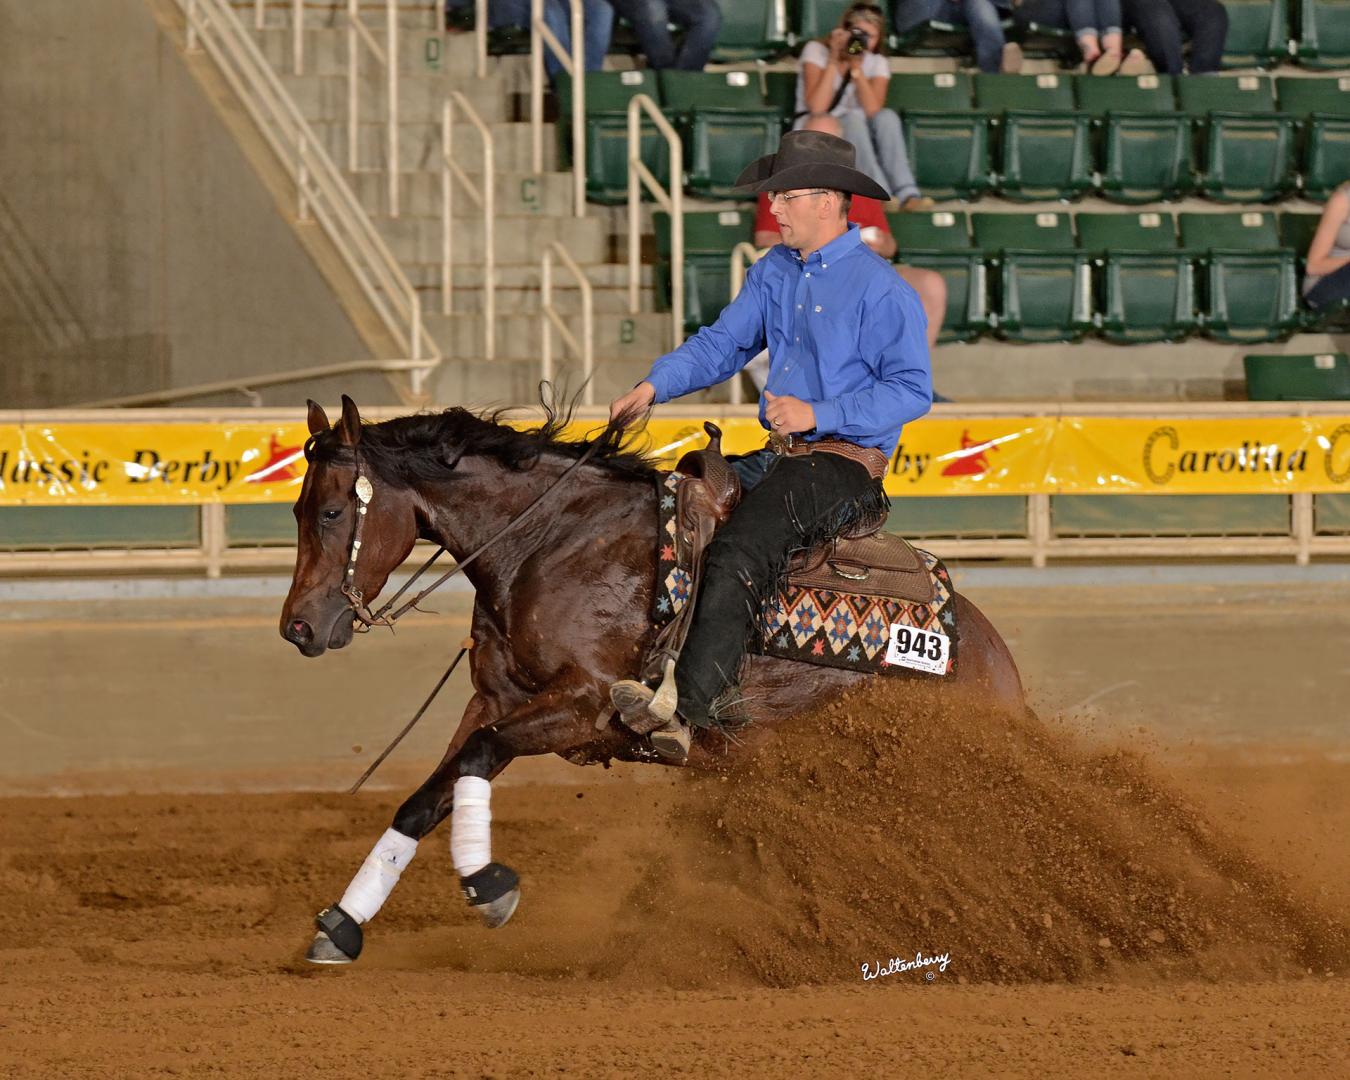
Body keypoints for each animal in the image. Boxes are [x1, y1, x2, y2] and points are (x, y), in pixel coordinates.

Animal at [282, 394, 1020, 961]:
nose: (298, 628)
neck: (549, 543)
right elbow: (428, 796)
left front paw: (489, 886)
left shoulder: (582, 705)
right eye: (295, 511)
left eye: (332, 511)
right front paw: (340, 927)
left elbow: (477, 757)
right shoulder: (494, 700)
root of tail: (994, 663)